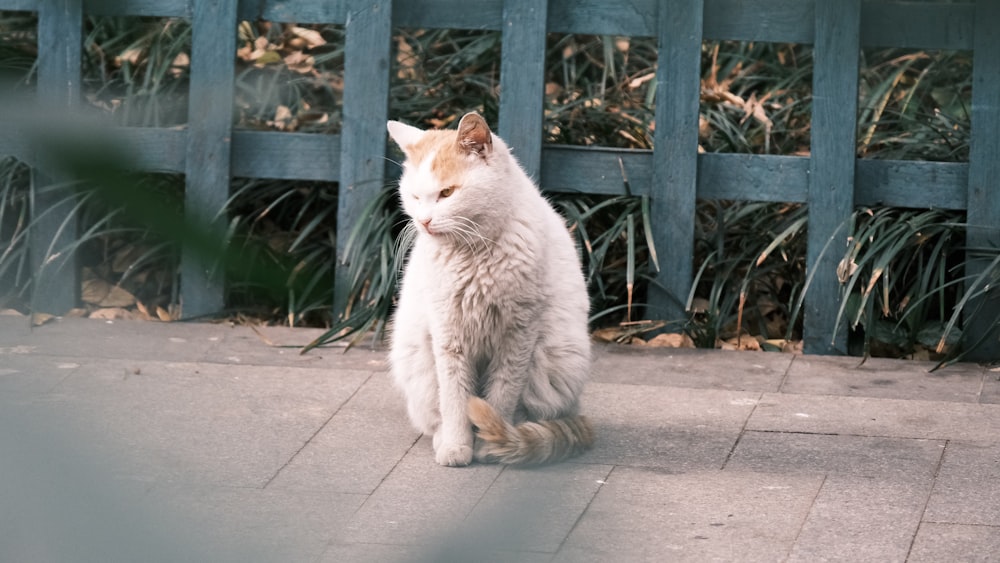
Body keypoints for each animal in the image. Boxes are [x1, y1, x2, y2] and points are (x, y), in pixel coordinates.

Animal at [384, 111, 592, 468]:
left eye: (447, 193)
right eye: (414, 197)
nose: (424, 221)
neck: (473, 255)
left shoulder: (518, 336)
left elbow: (502, 395)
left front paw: (491, 441)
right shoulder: (448, 336)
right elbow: (454, 399)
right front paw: (457, 446)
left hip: (555, 359)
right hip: (417, 359)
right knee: (435, 413)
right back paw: (442, 438)